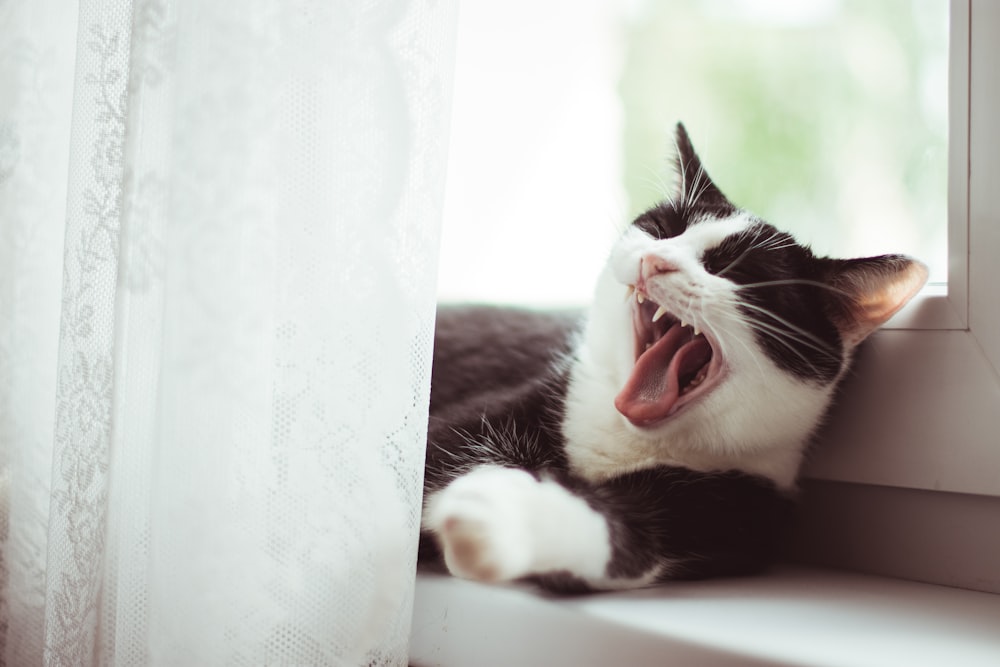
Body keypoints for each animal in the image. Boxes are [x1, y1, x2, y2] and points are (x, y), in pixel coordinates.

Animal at [416, 122, 928, 592]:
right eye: (663, 229)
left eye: (735, 270)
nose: (655, 260)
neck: (628, 440)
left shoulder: (736, 508)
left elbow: (630, 539)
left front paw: (496, 519)